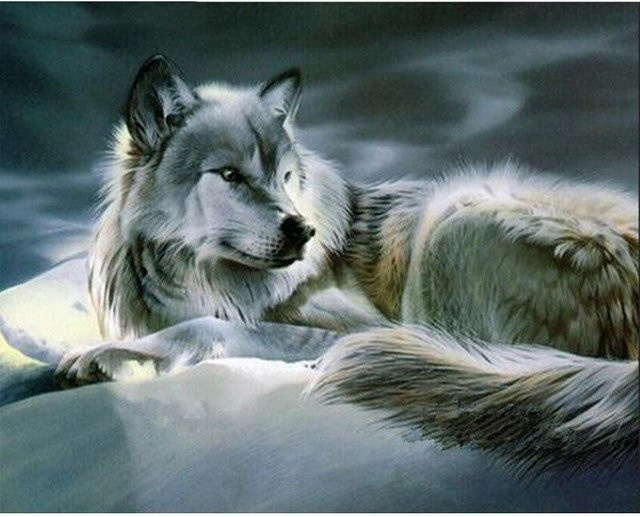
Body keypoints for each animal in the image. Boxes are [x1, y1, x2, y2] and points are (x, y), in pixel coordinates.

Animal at [56, 55, 638, 472]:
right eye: (230, 176)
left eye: (286, 177)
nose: (302, 230)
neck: (205, 281)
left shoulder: (356, 326)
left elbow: (211, 329)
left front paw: (112, 357)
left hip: (451, 223)